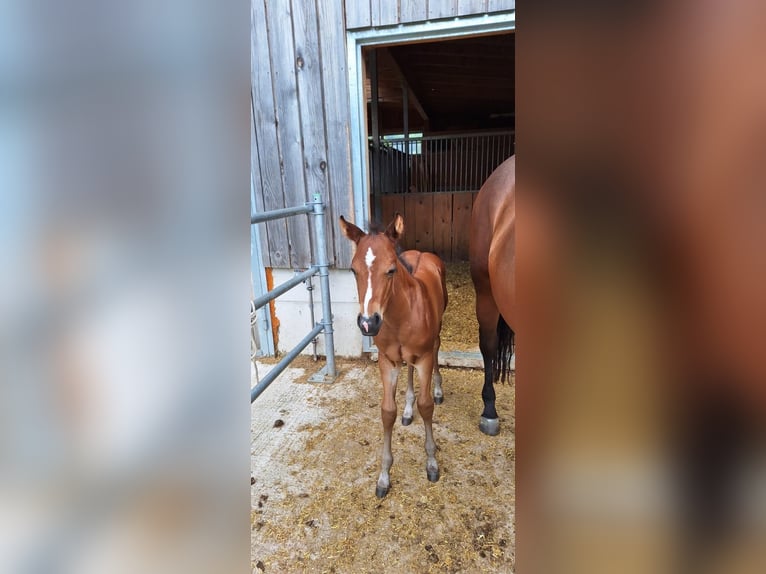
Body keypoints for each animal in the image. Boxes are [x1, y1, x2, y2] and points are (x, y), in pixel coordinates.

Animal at [339, 213, 448, 498]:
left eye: (391, 269)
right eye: (353, 270)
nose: (368, 323)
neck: (400, 317)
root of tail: (423, 252)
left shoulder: (424, 358)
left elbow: (427, 406)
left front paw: (432, 462)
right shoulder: (387, 361)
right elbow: (387, 411)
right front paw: (384, 476)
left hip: (436, 333)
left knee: (437, 348)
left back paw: (438, 389)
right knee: (408, 368)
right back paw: (408, 410)